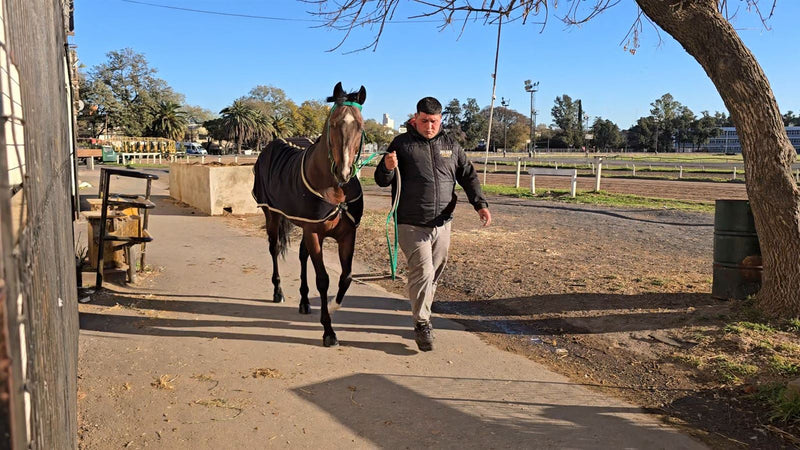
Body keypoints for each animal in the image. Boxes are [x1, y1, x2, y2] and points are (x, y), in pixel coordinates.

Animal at [252, 82, 366, 347]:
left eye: (360, 125)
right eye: (333, 123)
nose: (344, 172)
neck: (336, 189)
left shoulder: (347, 234)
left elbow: (346, 277)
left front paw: (333, 307)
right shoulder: (314, 232)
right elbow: (323, 279)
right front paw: (328, 330)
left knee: (302, 255)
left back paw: (304, 302)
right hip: (272, 215)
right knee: (274, 249)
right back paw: (278, 291)